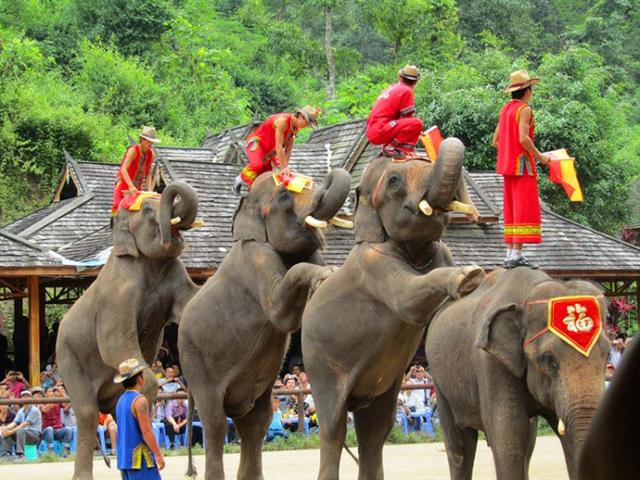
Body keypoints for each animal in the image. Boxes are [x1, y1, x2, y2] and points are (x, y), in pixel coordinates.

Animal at [56, 182, 199, 478]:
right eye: (146, 210)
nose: (191, 470)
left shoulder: (177, 273)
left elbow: (193, 302)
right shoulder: (117, 294)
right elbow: (114, 345)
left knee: (114, 407)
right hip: (68, 357)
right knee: (87, 412)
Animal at [178, 167, 352, 478]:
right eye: (283, 196)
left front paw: (329, 276)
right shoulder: (255, 260)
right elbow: (281, 314)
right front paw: (326, 274)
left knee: (255, 423)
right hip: (195, 364)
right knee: (215, 423)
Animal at [300, 137, 484, 478]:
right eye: (395, 181)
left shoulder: (441, 251)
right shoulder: (373, 265)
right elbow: (408, 300)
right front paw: (469, 276)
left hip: (382, 388)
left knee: (375, 430)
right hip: (320, 366)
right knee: (333, 429)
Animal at [424, 268, 608, 478]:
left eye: (608, 355)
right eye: (549, 361)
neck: (528, 294)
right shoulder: (491, 364)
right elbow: (509, 437)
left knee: (528, 444)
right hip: (440, 384)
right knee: (460, 446)